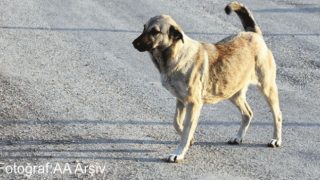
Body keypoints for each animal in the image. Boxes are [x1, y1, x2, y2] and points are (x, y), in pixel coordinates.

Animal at [131, 0, 282, 162]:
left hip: (267, 88)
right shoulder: (181, 101)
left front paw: (179, 153)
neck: (177, 55)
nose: (134, 43)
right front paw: (190, 139)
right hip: (233, 92)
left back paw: (276, 139)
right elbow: (177, 123)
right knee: (248, 113)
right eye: (144, 28)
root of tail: (253, 33)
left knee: (277, 114)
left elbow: (185, 132)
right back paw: (239, 137)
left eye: (155, 32)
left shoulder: (193, 104)